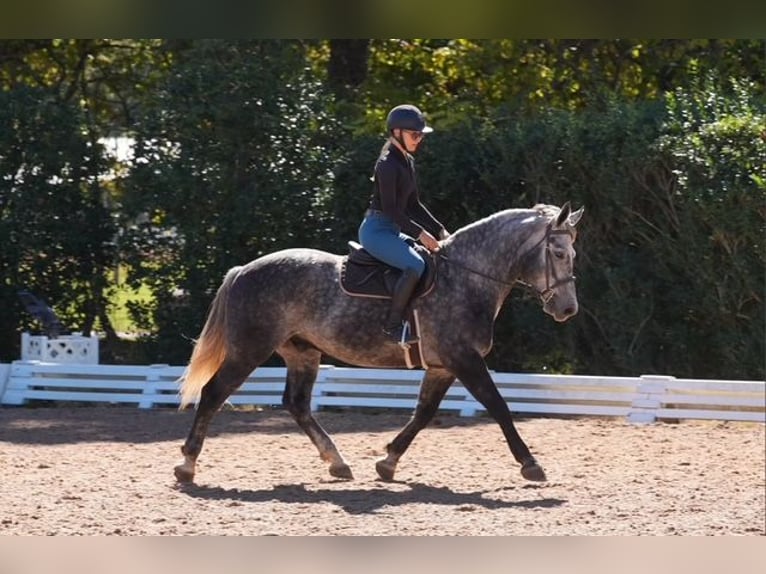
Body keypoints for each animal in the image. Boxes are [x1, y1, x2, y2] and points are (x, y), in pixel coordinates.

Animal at [174, 201, 584, 484]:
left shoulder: (442, 366)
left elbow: (423, 413)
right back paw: (187, 465)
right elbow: (499, 406)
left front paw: (387, 462)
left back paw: (338, 462)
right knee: (214, 394)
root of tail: (243, 269)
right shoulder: (464, 360)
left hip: (302, 351)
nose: (568, 309)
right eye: (558, 253)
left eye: (572, 254)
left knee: (297, 404)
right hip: (250, 349)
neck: (466, 278)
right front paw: (530, 464)